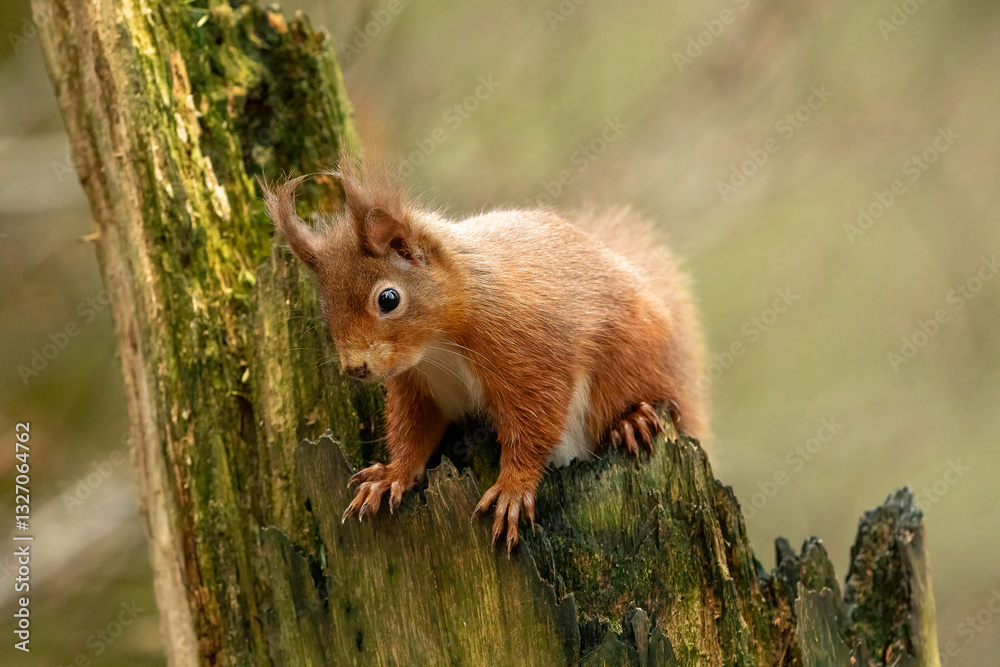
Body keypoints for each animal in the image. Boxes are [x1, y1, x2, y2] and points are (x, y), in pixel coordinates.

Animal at [262, 153, 708, 552]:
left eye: (388, 299)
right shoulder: (420, 385)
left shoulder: (527, 352)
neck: (438, 346)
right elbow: (413, 431)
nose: (356, 368)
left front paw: (512, 489)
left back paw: (631, 421)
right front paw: (391, 475)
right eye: (325, 315)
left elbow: (535, 422)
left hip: (632, 359)